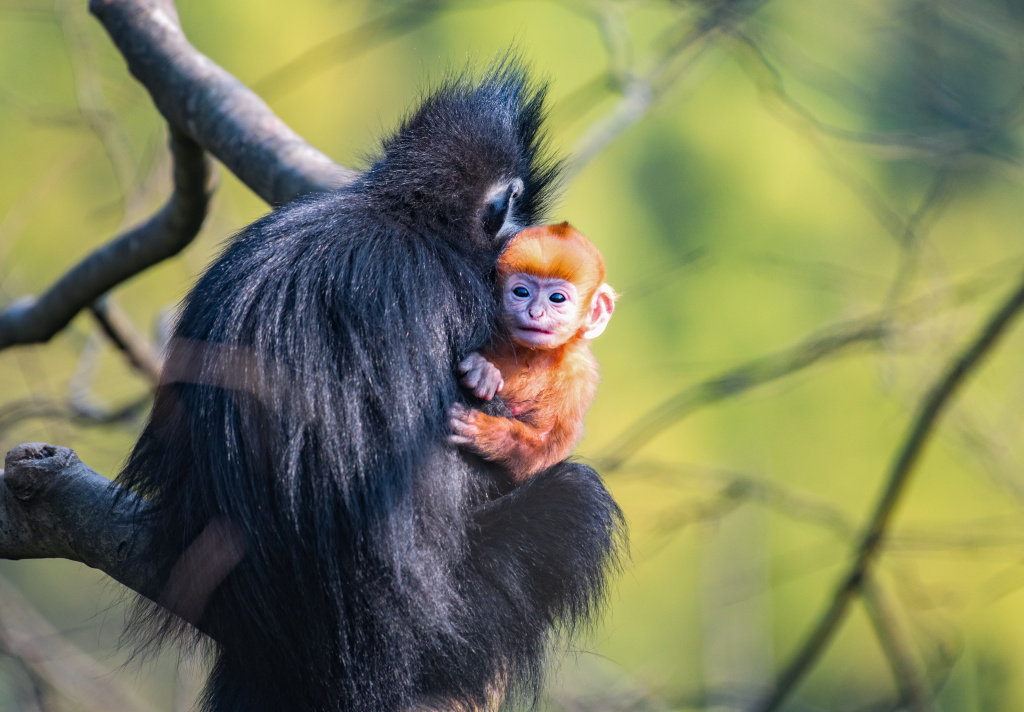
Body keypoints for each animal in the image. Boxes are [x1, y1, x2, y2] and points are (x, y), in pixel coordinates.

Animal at [444, 223, 610, 481]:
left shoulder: (578, 379)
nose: (535, 312)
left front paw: (487, 433)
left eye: (557, 298)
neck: (531, 355)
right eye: (521, 292)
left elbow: (543, 452)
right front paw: (483, 371)